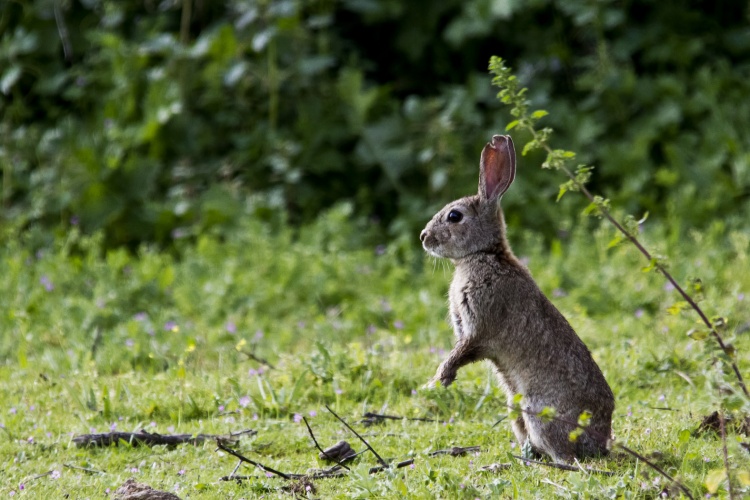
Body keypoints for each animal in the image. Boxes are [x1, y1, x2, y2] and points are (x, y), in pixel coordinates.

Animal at [419, 135, 614, 463]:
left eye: (454, 216)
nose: (423, 237)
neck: (485, 254)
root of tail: (600, 442)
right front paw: (442, 381)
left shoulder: (478, 325)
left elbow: (461, 351)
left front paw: (438, 380)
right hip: (516, 406)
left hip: (539, 412)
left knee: (563, 453)